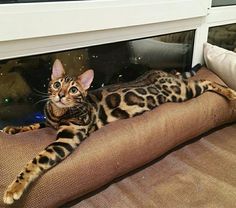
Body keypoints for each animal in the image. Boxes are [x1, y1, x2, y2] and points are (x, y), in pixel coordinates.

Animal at [1, 59, 236, 204]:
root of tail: (163, 71)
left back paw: (230, 93)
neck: (59, 113)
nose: (60, 95)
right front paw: (13, 128)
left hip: (182, 92)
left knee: (204, 80)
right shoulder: (49, 122)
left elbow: (35, 161)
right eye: (57, 84)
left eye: (74, 89)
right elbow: (35, 124)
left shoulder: (67, 139)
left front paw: (13, 189)